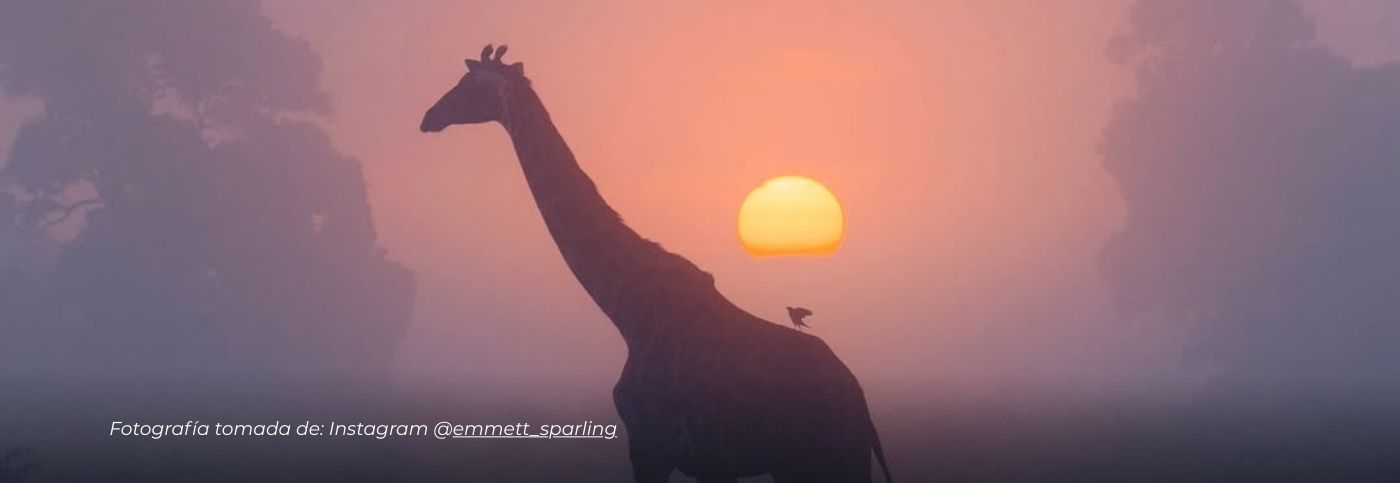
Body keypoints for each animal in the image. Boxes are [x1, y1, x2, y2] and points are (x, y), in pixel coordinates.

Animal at [421, 45, 893, 483]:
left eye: (466, 86)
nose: (429, 117)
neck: (630, 313)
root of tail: (859, 403)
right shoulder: (709, 463)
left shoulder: (651, 445)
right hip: (811, 463)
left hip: (821, 458)